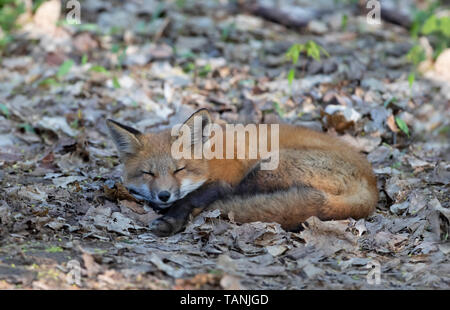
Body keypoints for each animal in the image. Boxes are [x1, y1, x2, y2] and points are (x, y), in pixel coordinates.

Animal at [107, 108, 378, 236]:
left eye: (179, 169)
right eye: (148, 173)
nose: (164, 195)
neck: (210, 160)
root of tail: (372, 184)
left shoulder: (226, 178)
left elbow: (195, 196)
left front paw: (171, 219)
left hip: (265, 169)